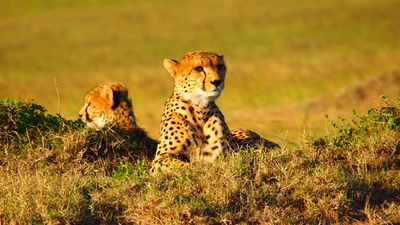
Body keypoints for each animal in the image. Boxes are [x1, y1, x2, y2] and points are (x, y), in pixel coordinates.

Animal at [150, 51, 278, 173]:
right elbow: (185, 166)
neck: (200, 109)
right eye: (199, 68)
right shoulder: (160, 159)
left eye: (220, 66)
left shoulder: (226, 154)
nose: (217, 82)